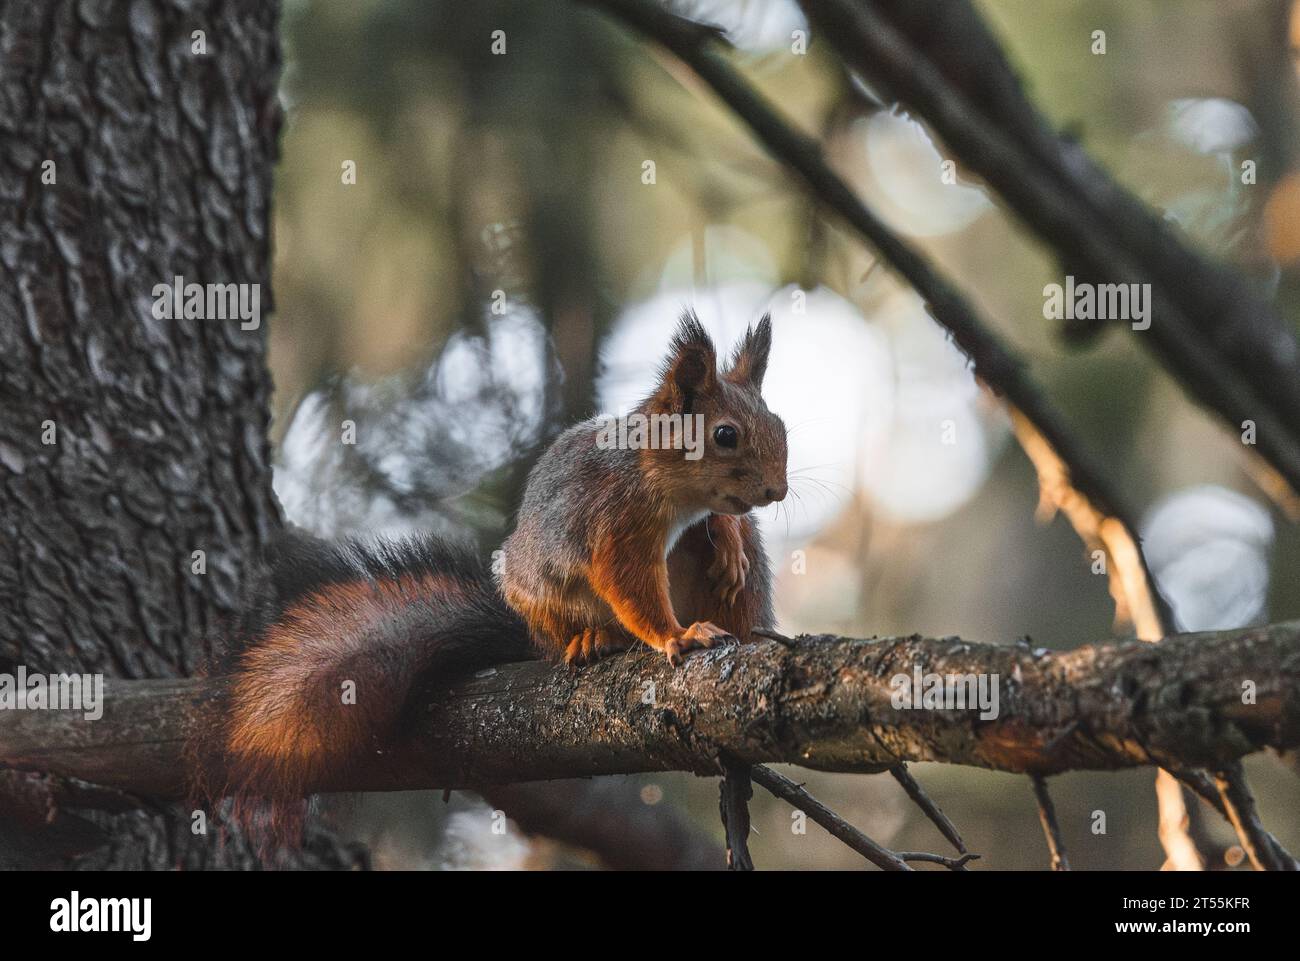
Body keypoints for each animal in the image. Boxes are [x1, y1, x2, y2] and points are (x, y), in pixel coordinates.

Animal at [191, 311, 788, 843]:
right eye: (726, 435)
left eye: (779, 425)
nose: (777, 491)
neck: (654, 471)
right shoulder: (614, 522)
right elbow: (629, 583)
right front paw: (674, 635)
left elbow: (717, 525)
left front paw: (727, 541)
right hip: (537, 593)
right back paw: (595, 637)